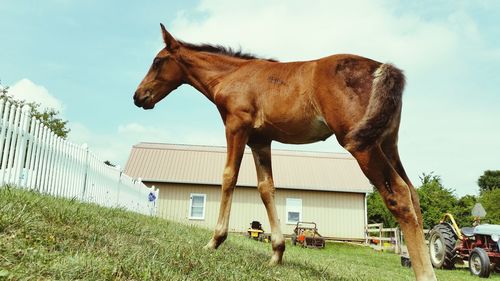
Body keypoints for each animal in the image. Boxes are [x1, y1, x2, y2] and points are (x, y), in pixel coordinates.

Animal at [134, 24, 438, 280]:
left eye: (157, 61)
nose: (138, 96)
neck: (231, 76)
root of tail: (383, 67)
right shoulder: (260, 140)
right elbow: (266, 188)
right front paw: (277, 253)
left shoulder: (236, 126)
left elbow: (229, 177)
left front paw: (214, 241)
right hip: (387, 143)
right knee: (412, 193)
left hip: (361, 145)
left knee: (398, 194)